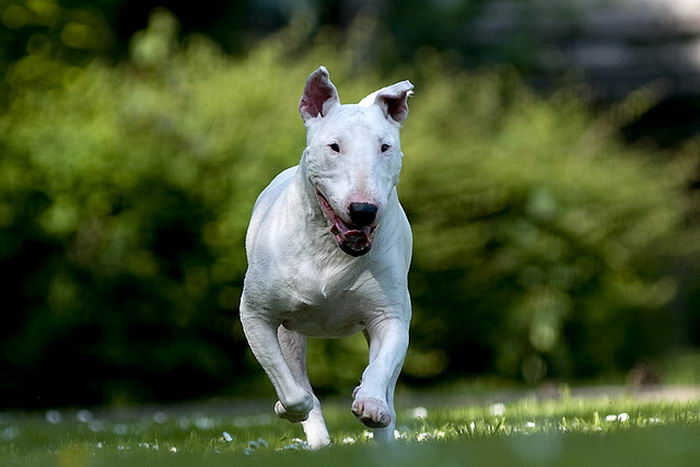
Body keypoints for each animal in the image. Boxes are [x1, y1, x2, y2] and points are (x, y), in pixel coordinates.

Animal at [241, 66, 412, 450]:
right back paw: (318, 440)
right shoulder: (255, 315)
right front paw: (288, 408)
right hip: (289, 334)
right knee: (297, 375)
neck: (329, 248)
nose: (363, 210)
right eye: (334, 146)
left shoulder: (390, 314)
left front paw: (370, 403)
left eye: (385, 147)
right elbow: (294, 392)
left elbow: (381, 363)